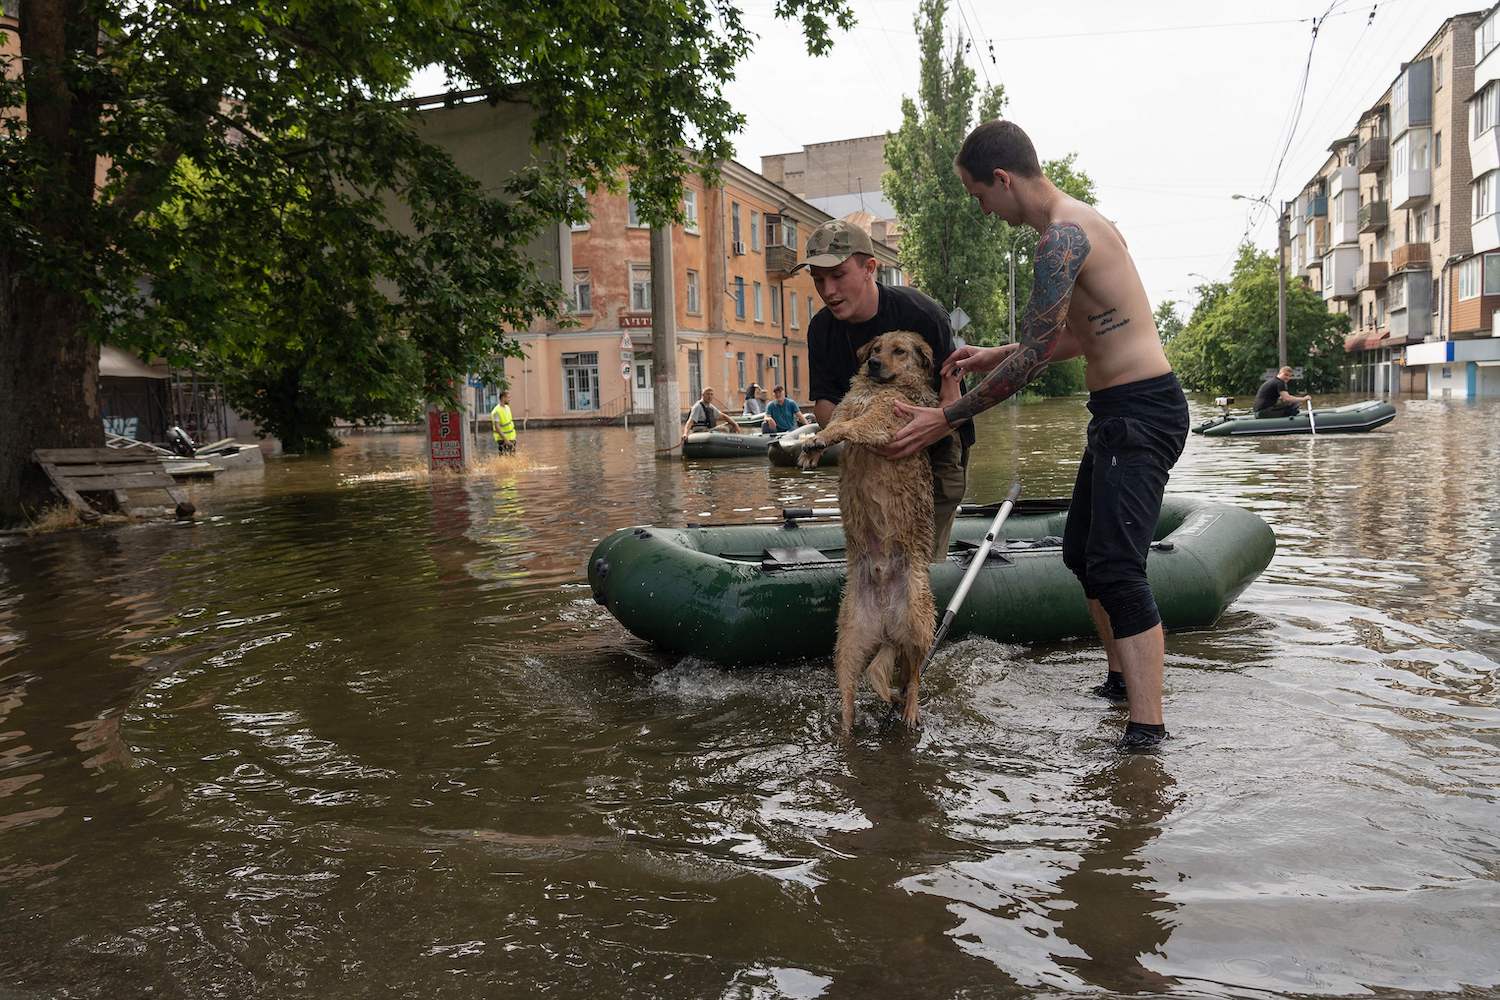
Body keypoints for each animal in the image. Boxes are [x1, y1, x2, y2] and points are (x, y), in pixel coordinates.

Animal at [804, 332, 930, 731]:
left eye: (899, 351)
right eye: (875, 349)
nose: (873, 363)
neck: (878, 388)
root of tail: (887, 623)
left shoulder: (884, 418)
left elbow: (853, 427)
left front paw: (822, 441)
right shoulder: (846, 407)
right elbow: (831, 424)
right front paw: (813, 446)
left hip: (919, 621)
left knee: (913, 676)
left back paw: (909, 709)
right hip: (848, 642)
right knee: (850, 692)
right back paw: (845, 728)